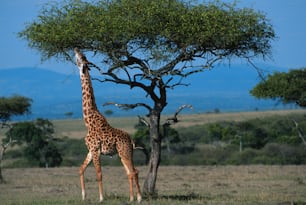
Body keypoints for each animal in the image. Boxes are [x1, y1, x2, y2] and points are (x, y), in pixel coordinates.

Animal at [74, 48, 142, 203]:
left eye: (82, 57)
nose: (76, 49)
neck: (88, 121)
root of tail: (131, 140)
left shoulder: (95, 149)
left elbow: (99, 174)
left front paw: (101, 198)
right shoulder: (90, 150)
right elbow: (81, 169)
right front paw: (83, 196)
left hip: (124, 152)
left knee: (134, 171)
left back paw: (139, 198)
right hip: (124, 153)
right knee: (130, 172)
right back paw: (131, 198)